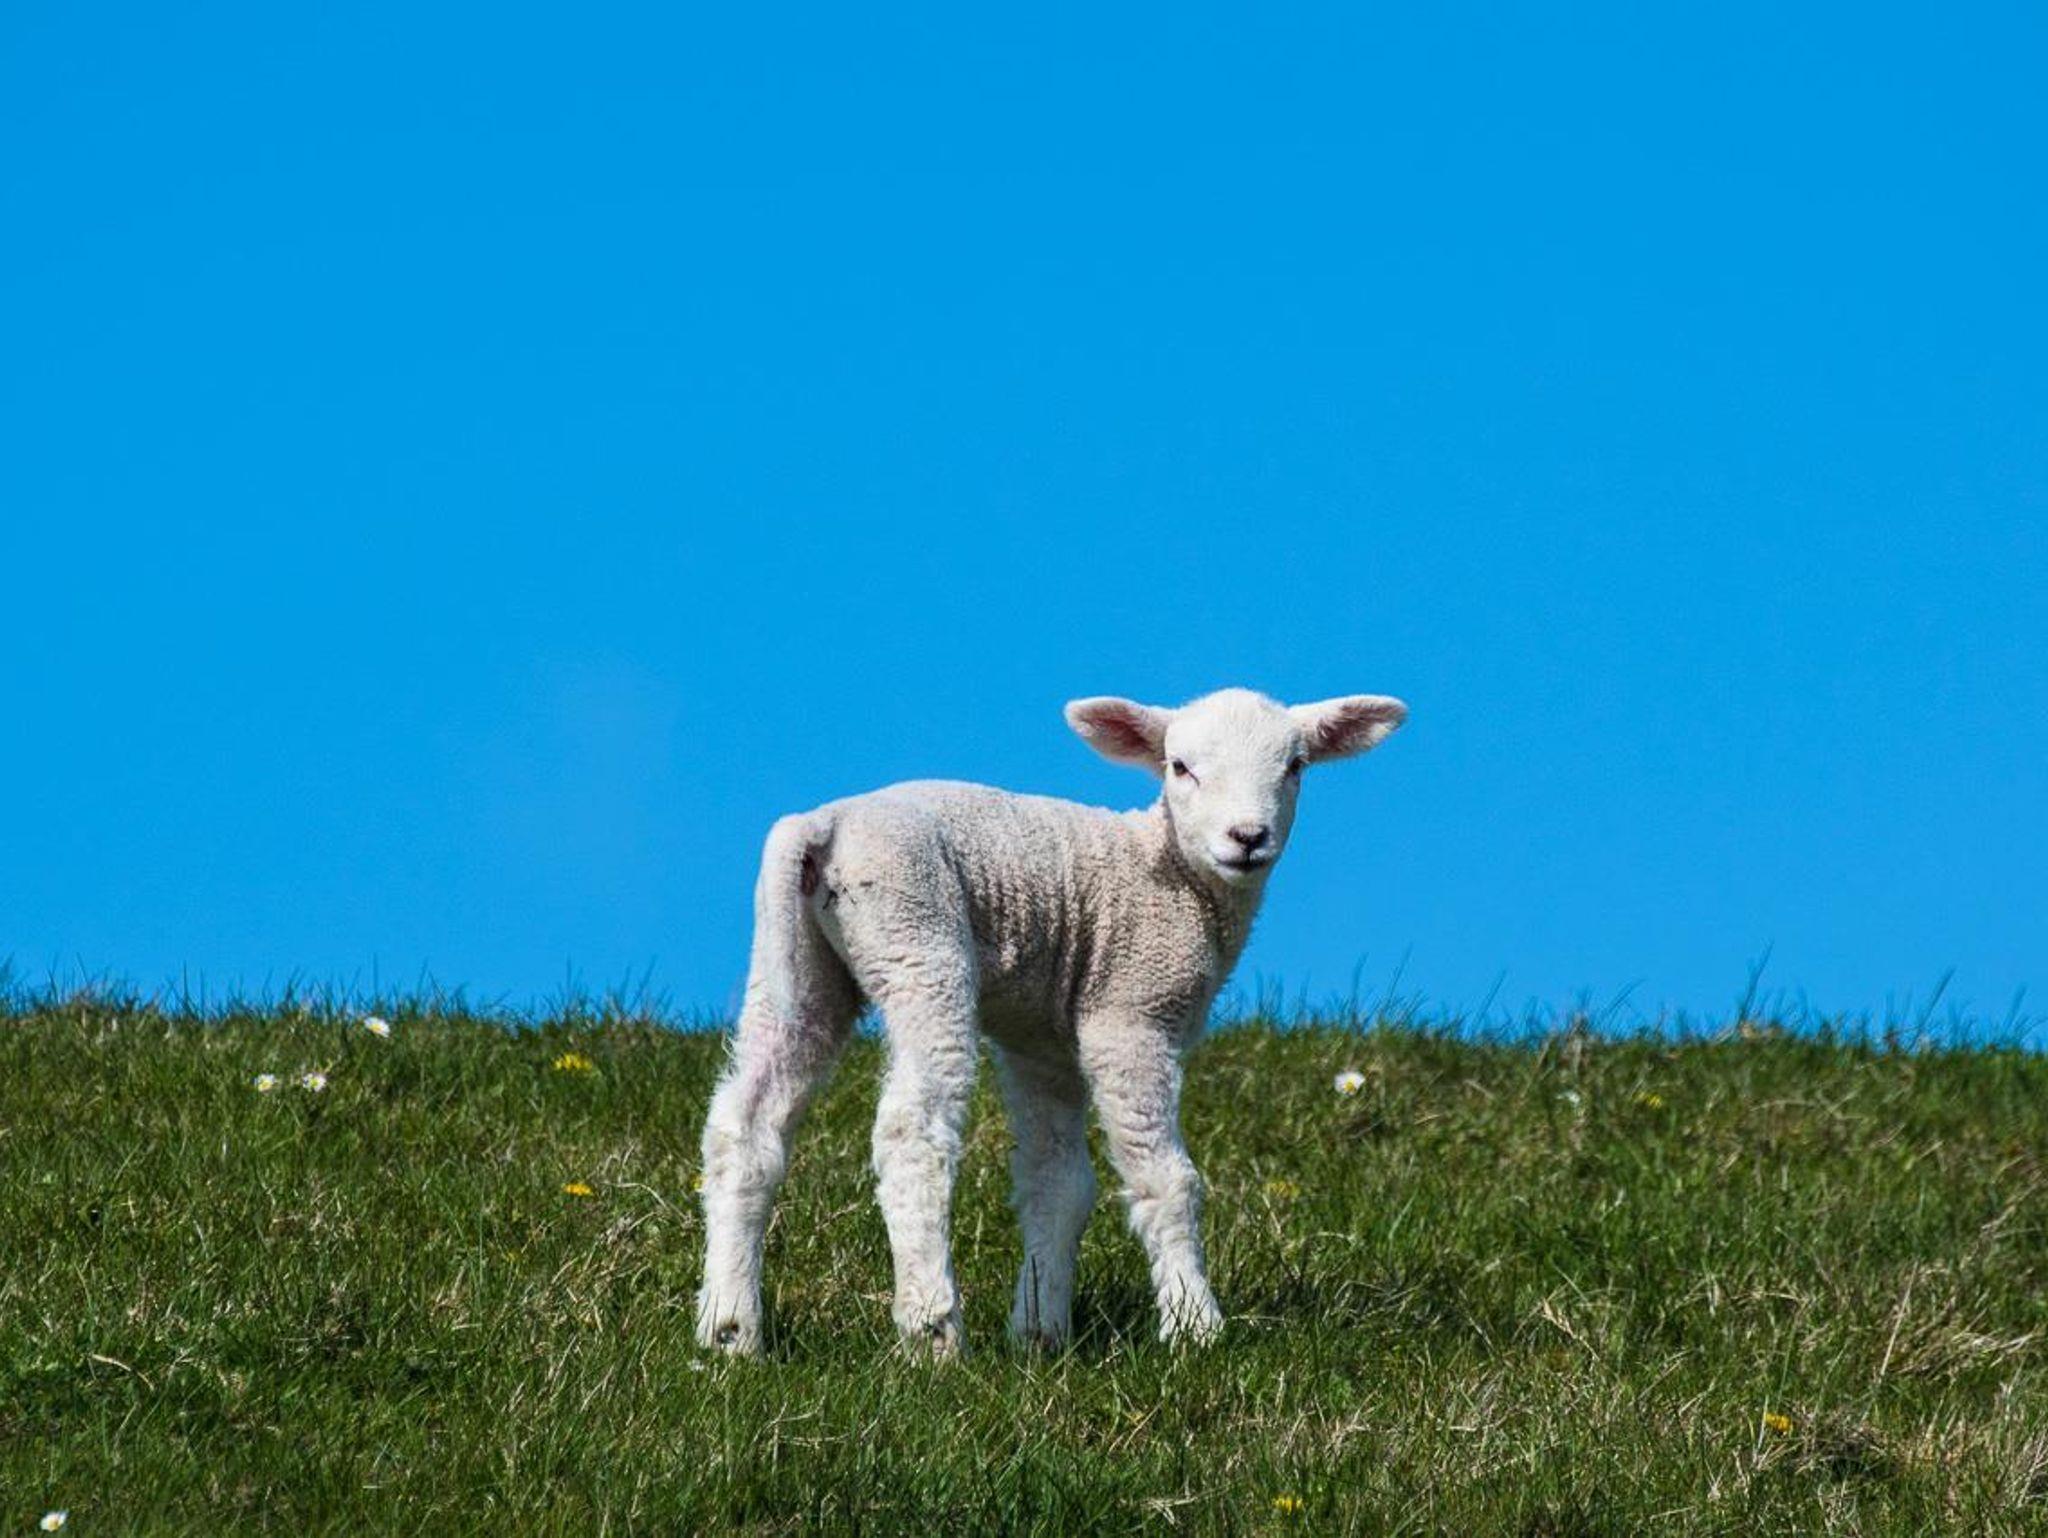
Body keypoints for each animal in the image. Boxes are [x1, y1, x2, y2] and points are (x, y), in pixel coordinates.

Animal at [694, 686, 1407, 1356]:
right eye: (1179, 767)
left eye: (1295, 766)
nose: (1248, 838)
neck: (1170, 873)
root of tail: (823, 825)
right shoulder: (1130, 1011)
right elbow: (1163, 1177)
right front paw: (1193, 1325)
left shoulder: (1043, 1040)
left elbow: (1057, 1183)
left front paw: (1040, 1331)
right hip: (916, 935)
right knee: (912, 1132)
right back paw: (932, 1333)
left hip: (800, 964)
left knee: (746, 1123)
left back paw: (730, 1331)